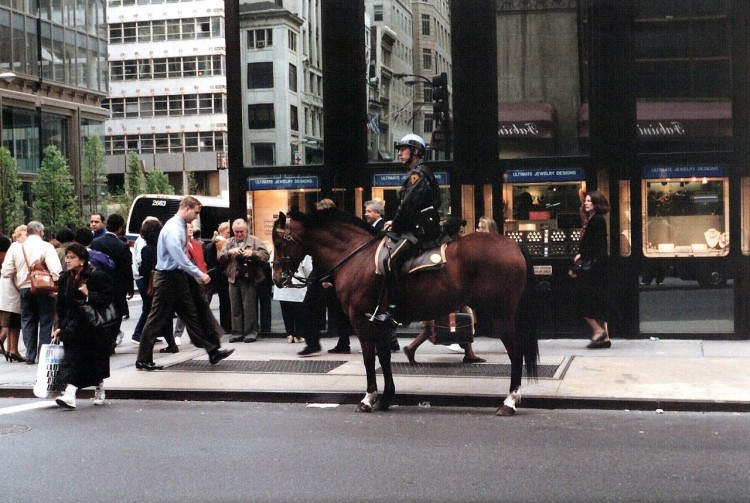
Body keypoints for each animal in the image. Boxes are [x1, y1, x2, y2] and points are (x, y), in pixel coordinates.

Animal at [274, 209, 536, 418]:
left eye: (280, 242)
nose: (277, 278)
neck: (355, 255)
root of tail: (513, 244)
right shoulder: (379, 321)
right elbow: (383, 358)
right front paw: (386, 398)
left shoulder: (360, 319)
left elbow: (369, 358)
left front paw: (368, 399)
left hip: (501, 314)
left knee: (515, 353)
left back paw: (510, 402)